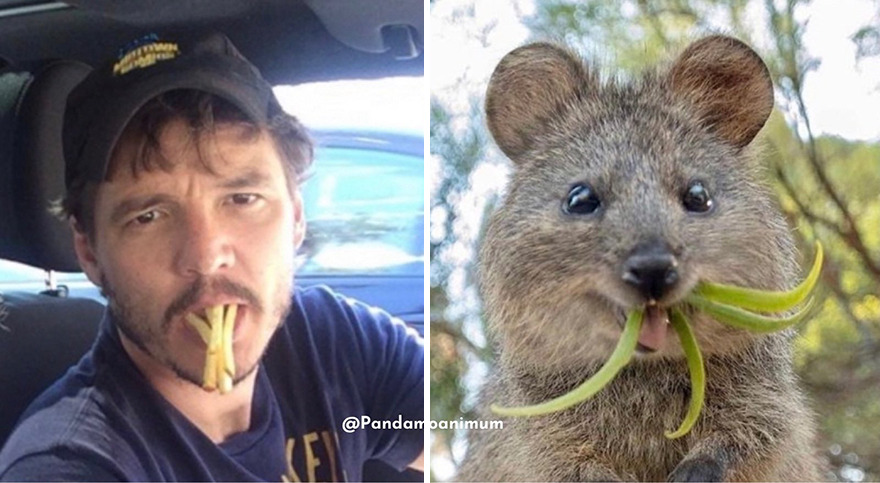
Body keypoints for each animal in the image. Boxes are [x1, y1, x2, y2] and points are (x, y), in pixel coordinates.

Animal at [457, 35, 825, 481]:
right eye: (579, 199)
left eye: (698, 196)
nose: (653, 268)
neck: (645, 372)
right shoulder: (536, 440)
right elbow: (567, 465)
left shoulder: (769, 406)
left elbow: (752, 439)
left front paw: (694, 472)